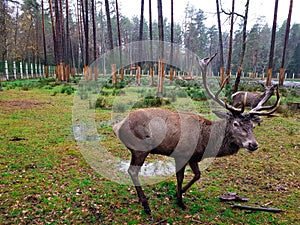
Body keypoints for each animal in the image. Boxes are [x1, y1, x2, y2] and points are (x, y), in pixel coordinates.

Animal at [112, 54, 282, 214]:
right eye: (236, 123)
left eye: (253, 126)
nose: (253, 144)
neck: (206, 141)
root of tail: (117, 126)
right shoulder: (182, 154)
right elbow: (180, 177)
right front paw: (180, 201)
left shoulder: (194, 157)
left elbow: (197, 175)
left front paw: (178, 194)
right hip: (140, 148)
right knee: (132, 171)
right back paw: (146, 205)